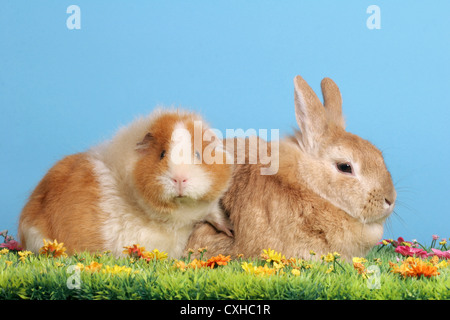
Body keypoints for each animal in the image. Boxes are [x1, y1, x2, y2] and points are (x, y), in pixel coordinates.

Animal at [18, 108, 234, 258]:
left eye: (197, 154)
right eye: (162, 154)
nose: (180, 178)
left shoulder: (206, 208)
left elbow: (214, 213)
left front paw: (230, 231)